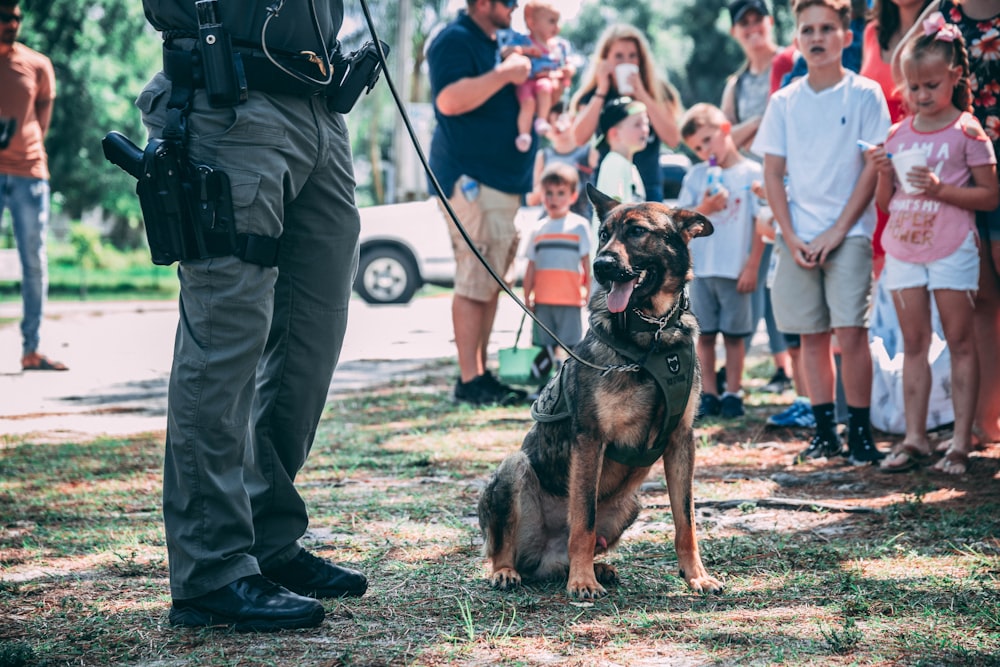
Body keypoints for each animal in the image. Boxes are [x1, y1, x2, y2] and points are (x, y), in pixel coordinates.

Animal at [478, 184, 724, 600]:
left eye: (637, 232)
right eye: (604, 234)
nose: (600, 265)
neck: (652, 334)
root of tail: (546, 557)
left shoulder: (681, 442)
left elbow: (686, 521)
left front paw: (696, 576)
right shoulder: (591, 440)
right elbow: (584, 519)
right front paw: (582, 582)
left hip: (631, 503)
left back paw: (598, 567)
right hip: (514, 468)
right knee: (503, 548)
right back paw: (512, 571)